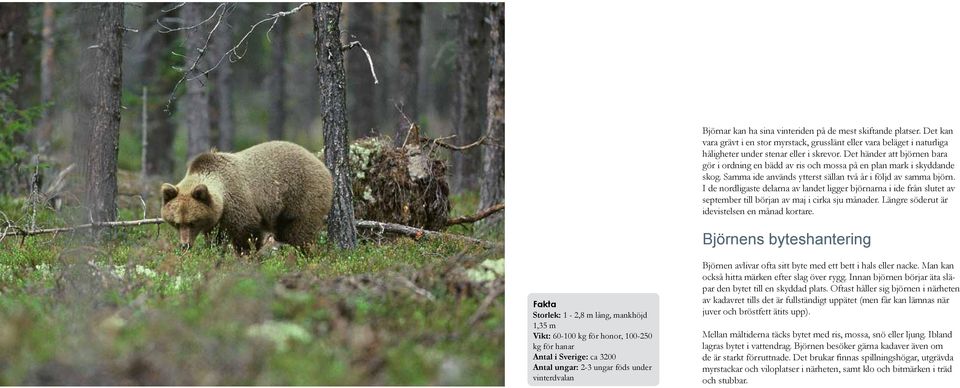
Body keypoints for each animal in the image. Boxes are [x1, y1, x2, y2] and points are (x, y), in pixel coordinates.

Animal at [161, 141, 334, 253]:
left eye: (192, 222)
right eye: (176, 223)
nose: (185, 245)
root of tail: (321, 164)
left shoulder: (237, 203)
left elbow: (246, 235)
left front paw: (247, 256)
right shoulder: (217, 221)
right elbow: (216, 239)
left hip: (302, 196)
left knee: (298, 233)